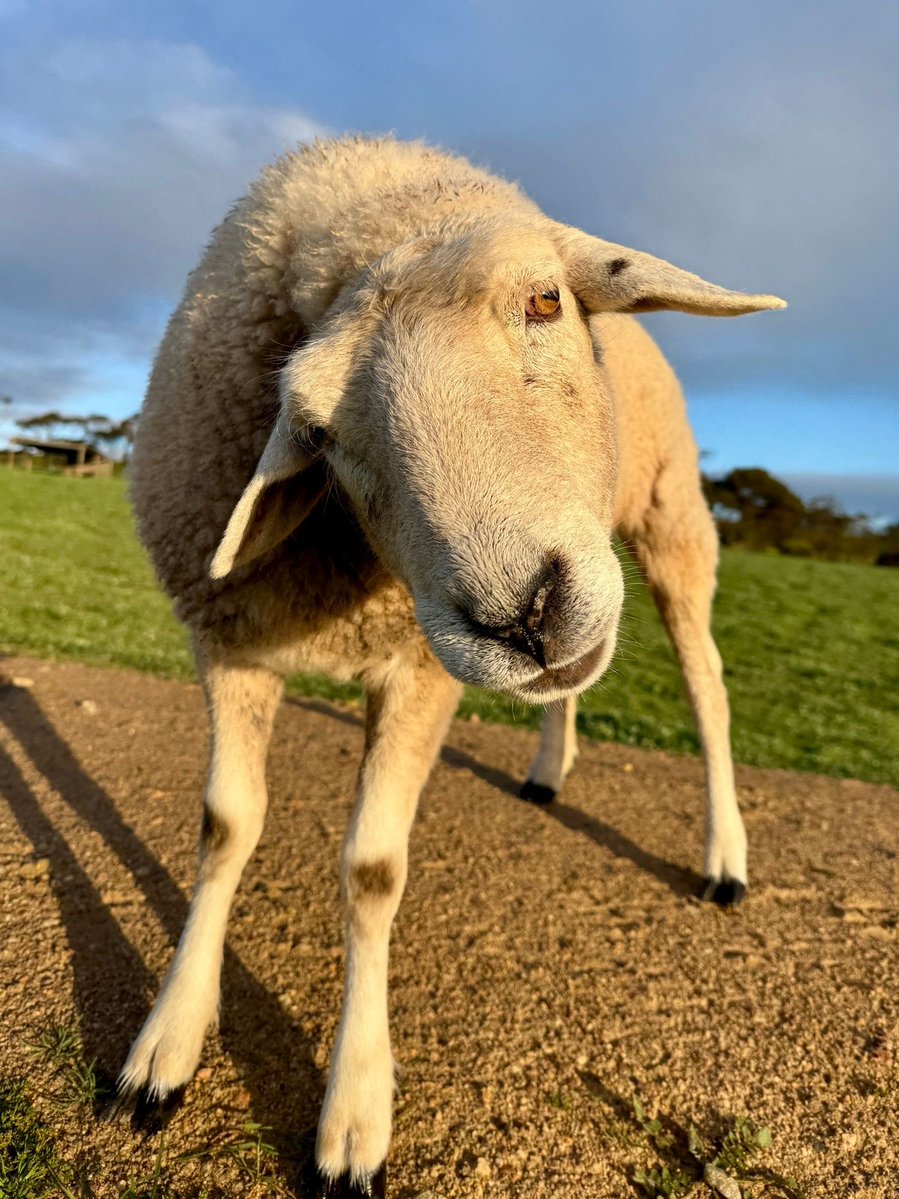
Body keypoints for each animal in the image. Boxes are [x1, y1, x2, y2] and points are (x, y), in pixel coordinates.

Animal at [120, 136, 785, 1196]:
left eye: (546, 300)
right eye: (316, 434)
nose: (525, 613)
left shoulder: (417, 673)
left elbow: (371, 870)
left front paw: (353, 1112)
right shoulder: (229, 640)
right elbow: (224, 826)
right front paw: (169, 1039)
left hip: (672, 521)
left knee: (706, 688)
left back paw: (725, 857)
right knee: (575, 692)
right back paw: (549, 769)